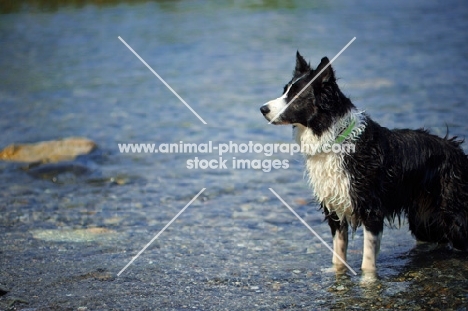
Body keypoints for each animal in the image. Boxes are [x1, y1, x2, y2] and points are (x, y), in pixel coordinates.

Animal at [260, 53, 468, 272]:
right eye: (285, 91)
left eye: (296, 96)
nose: (262, 109)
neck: (335, 140)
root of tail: (456, 149)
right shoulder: (335, 210)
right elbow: (338, 254)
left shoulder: (371, 209)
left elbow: (367, 260)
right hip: (423, 219)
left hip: (454, 216)